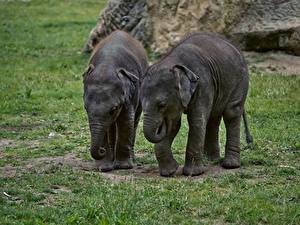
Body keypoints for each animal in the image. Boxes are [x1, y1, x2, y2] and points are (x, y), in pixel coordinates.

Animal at [82, 29, 148, 171]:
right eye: (86, 108)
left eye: (114, 109)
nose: (101, 151)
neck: (107, 65)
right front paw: (104, 168)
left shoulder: (131, 93)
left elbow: (126, 120)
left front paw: (124, 167)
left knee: (134, 120)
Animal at [142, 32, 252, 177]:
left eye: (162, 104)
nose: (161, 125)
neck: (174, 63)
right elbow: (174, 124)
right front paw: (170, 172)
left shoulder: (203, 84)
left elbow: (196, 121)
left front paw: (193, 174)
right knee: (213, 117)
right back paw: (211, 160)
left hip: (240, 79)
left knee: (231, 113)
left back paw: (230, 165)